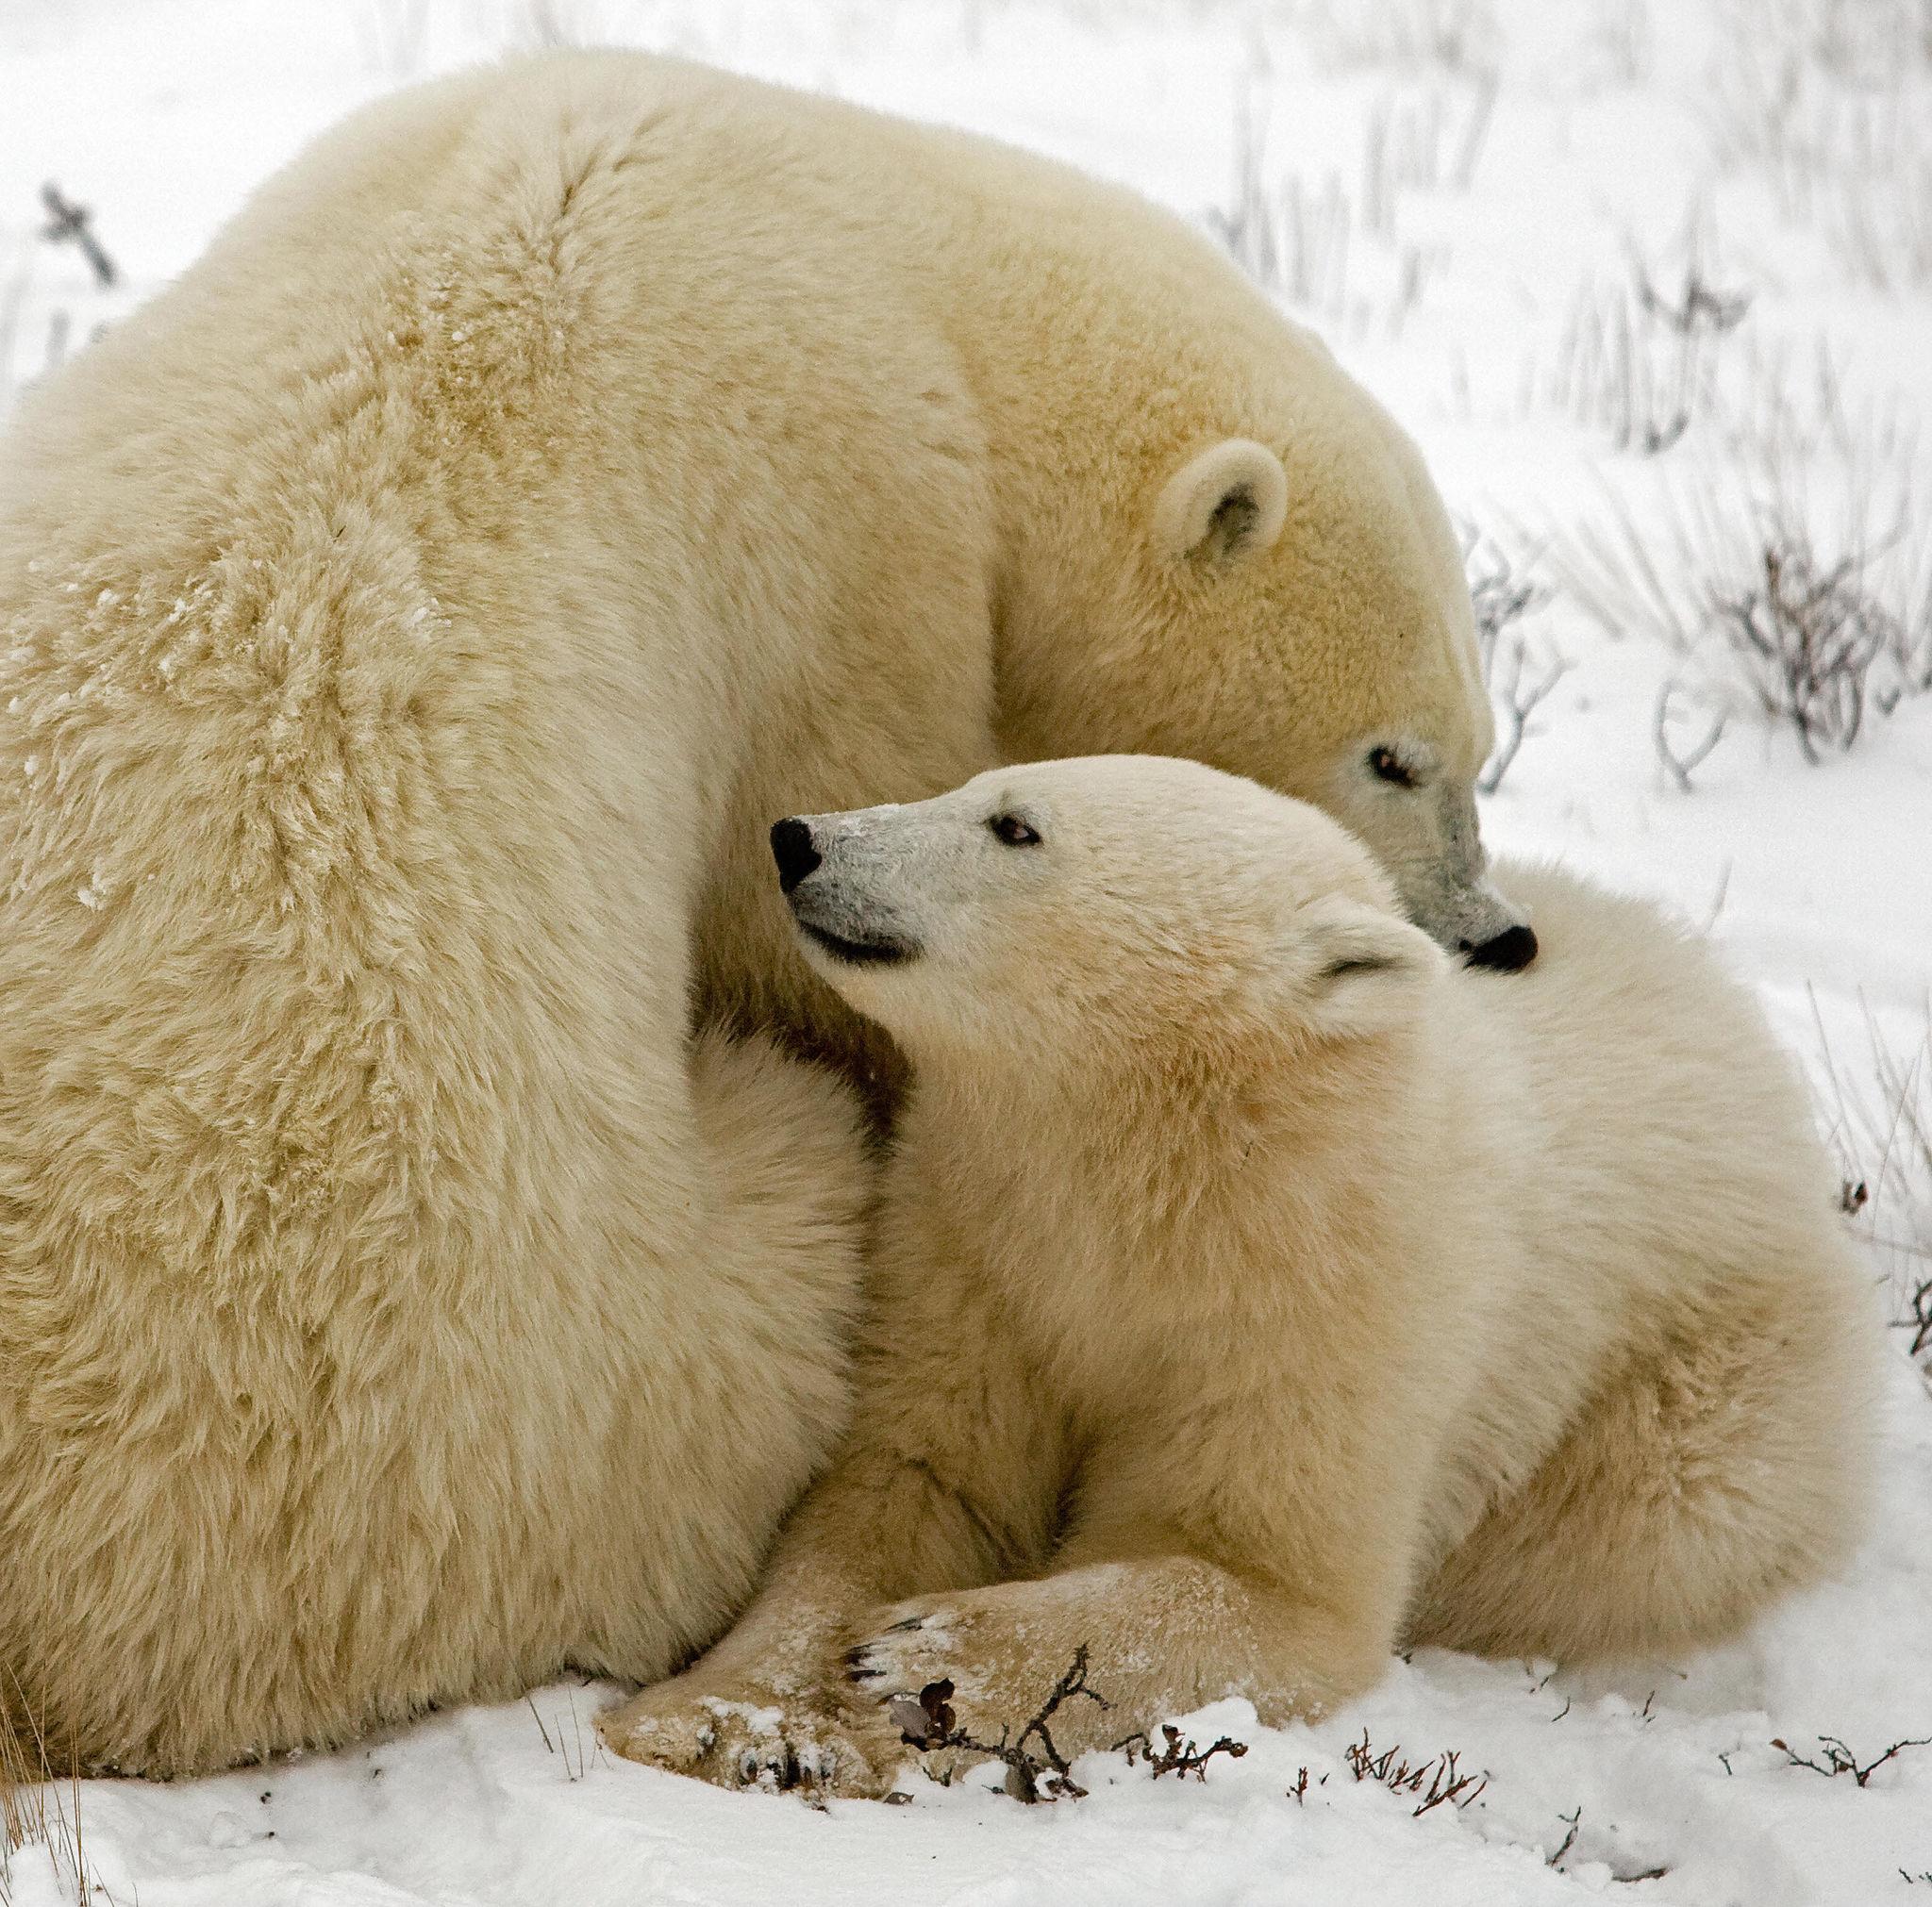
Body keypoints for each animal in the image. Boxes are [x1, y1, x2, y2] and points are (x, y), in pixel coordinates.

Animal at [1, 52, 1526, 1774]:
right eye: (1397, 754)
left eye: (1477, 741)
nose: (1491, 933)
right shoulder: (845, 527)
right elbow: (809, 898)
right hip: (549, 1386)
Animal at [600, 755, 1880, 1796]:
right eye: (970, 783)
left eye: (1014, 825)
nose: (800, 838)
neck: (1190, 1175)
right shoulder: (976, 1247)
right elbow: (908, 1478)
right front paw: (718, 1718)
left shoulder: (1327, 1307)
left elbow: (1262, 1583)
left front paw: (928, 1658)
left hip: (1697, 1399)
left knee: (1633, 1535)